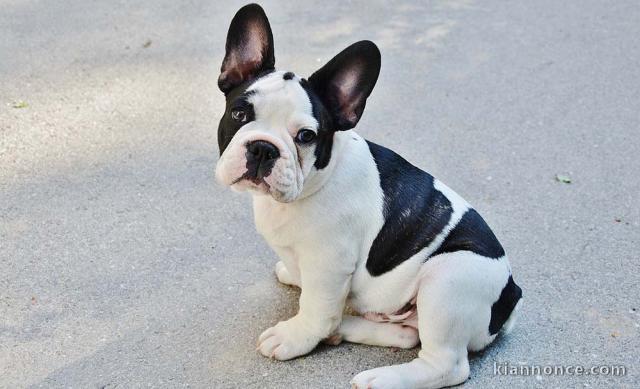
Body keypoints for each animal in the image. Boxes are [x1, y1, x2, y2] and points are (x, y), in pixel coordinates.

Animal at [215, 3, 520, 388]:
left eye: (306, 136)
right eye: (239, 113)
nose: (262, 148)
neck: (316, 181)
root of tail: (511, 295)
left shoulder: (328, 263)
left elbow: (316, 306)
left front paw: (295, 336)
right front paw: (293, 276)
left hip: (448, 277)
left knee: (446, 363)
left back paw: (383, 377)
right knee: (407, 334)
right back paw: (342, 329)